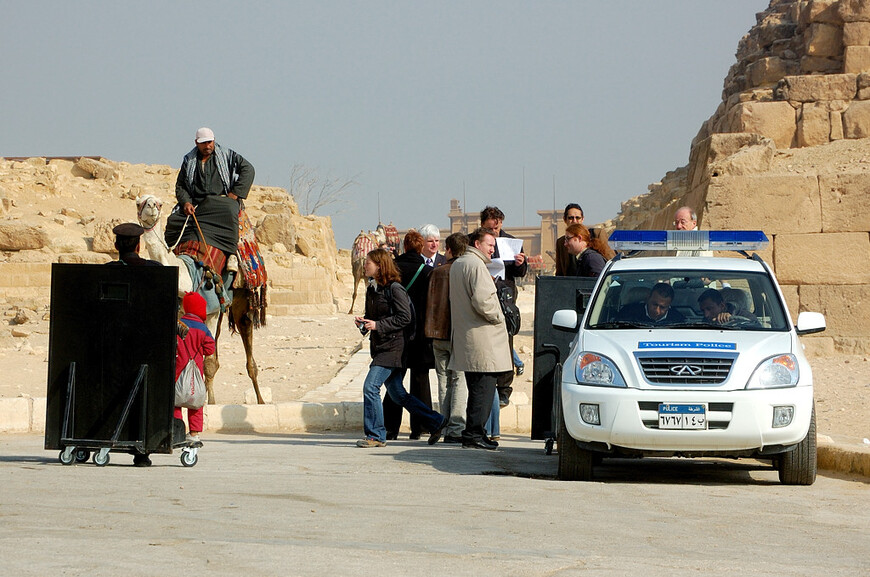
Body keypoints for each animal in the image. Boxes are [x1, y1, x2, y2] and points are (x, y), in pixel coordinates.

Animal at [135, 196, 266, 402]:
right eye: (139, 203)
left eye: (159, 203)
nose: (151, 207)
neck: (189, 272)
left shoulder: (211, 312)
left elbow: (209, 363)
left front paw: (209, 404)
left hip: (242, 299)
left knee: (248, 352)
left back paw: (260, 401)